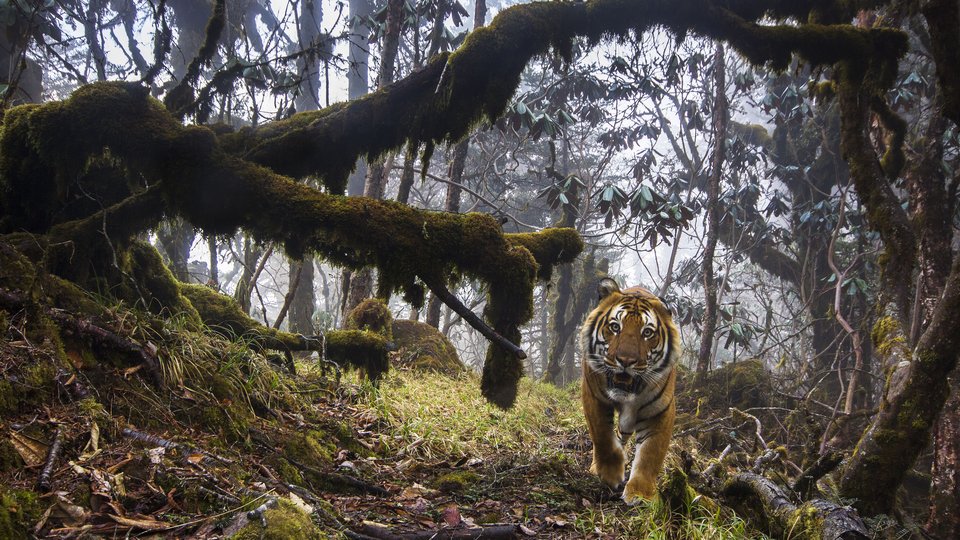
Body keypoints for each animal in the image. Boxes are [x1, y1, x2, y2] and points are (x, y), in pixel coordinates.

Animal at [580, 277, 680, 503]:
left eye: (647, 332)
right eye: (615, 327)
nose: (625, 361)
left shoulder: (660, 410)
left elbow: (651, 453)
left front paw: (640, 493)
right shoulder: (593, 395)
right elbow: (602, 437)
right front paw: (610, 474)